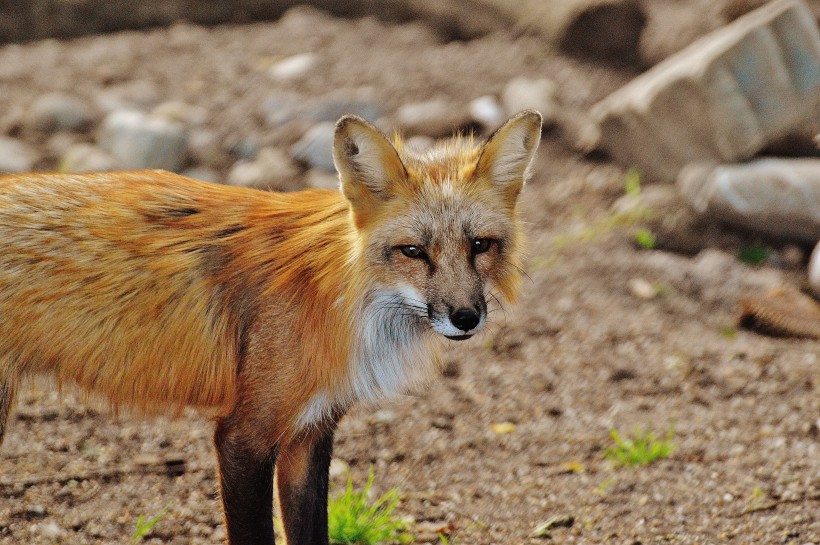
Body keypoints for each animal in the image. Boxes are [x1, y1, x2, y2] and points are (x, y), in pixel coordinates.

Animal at [1, 109, 544, 540]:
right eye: (413, 251)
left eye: (481, 245)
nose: (466, 318)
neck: (337, 301)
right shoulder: (243, 436)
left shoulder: (311, 432)